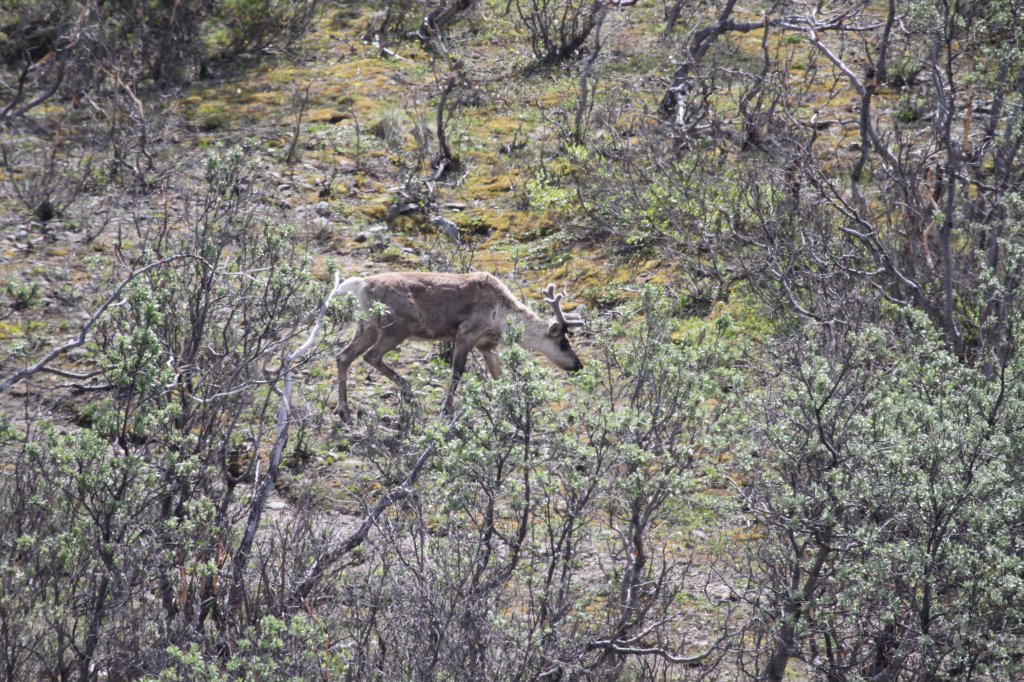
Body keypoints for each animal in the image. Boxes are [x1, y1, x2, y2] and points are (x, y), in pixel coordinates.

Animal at [333, 271, 585, 420]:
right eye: (563, 342)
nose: (579, 366)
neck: (502, 317)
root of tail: (360, 285)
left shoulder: (486, 345)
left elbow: (498, 377)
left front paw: (508, 404)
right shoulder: (465, 334)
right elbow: (457, 373)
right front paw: (446, 409)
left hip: (366, 326)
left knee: (344, 356)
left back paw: (344, 409)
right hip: (397, 327)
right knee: (371, 357)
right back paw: (407, 391)